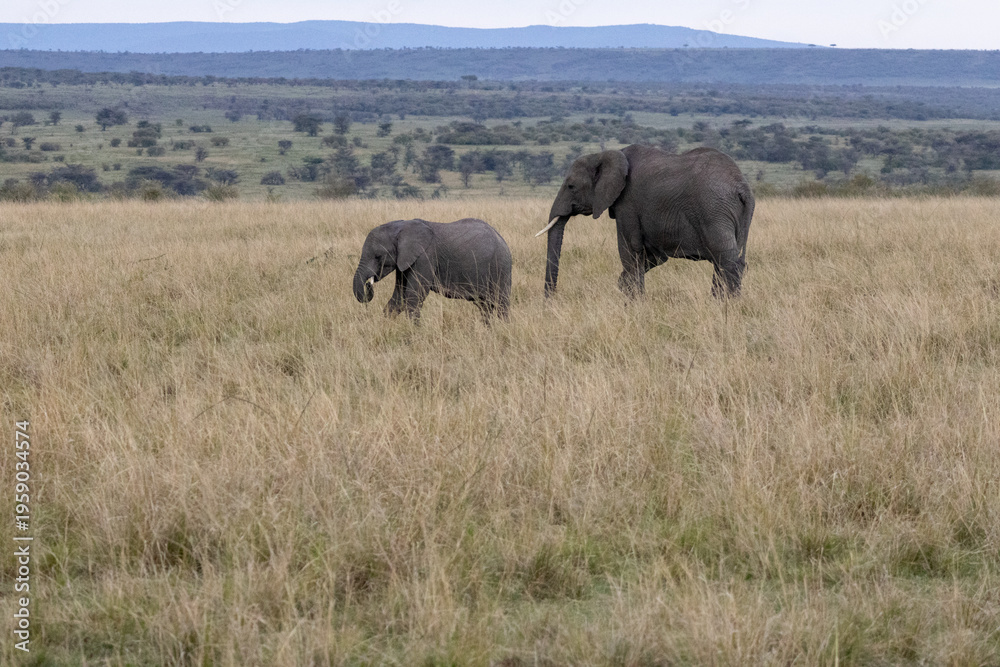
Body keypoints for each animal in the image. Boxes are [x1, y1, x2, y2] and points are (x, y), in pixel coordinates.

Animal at [353, 217, 511, 321]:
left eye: (378, 256)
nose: (368, 284)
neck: (402, 226)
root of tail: (502, 239)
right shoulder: (404, 261)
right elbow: (399, 297)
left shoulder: (424, 257)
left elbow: (414, 296)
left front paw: (414, 335)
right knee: (486, 306)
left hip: (500, 268)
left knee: (500, 304)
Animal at [537, 145, 755, 299]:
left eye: (571, 186)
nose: (550, 301)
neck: (606, 154)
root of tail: (742, 186)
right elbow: (653, 257)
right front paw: (625, 287)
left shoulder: (628, 203)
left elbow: (630, 249)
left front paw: (634, 302)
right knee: (728, 260)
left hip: (714, 209)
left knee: (726, 259)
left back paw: (727, 305)